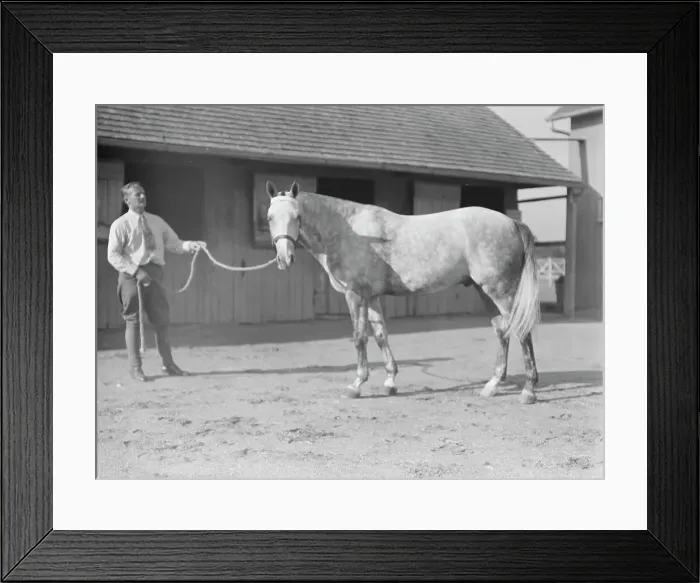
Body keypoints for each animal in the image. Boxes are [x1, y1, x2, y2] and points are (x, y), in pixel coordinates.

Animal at [265, 179, 541, 404]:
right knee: (502, 331)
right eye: (269, 217)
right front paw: (390, 382)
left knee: (521, 330)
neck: (350, 232)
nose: (284, 259)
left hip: (502, 292)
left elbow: (359, 337)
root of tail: (512, 223)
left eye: (297, 216)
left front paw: (356, 385)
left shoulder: (355, 295)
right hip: (485, 291)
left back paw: (528, 391)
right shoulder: (372, 297)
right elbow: (380, 335)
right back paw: (492, 386)